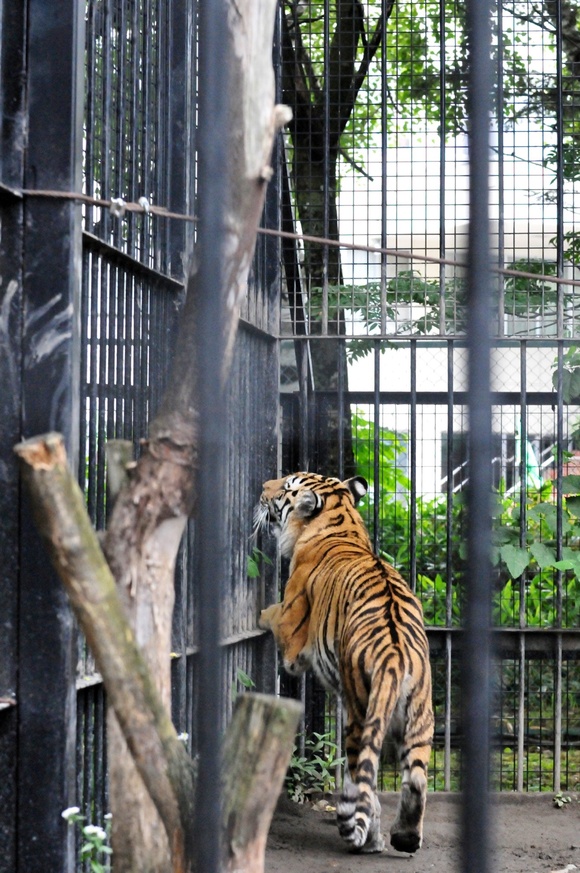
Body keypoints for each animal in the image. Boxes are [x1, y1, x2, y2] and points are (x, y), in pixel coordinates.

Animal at [256, 470, 432, 852]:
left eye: (287, 486)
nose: (262, 488)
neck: (341, 519)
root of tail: (395, 655)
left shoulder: (291, 634)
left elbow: (272, 615)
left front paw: (259, 615)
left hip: (358, 713)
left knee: (366, 787)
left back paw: (371, 841)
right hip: (420, 717)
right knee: (415, 781)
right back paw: (406, 838)